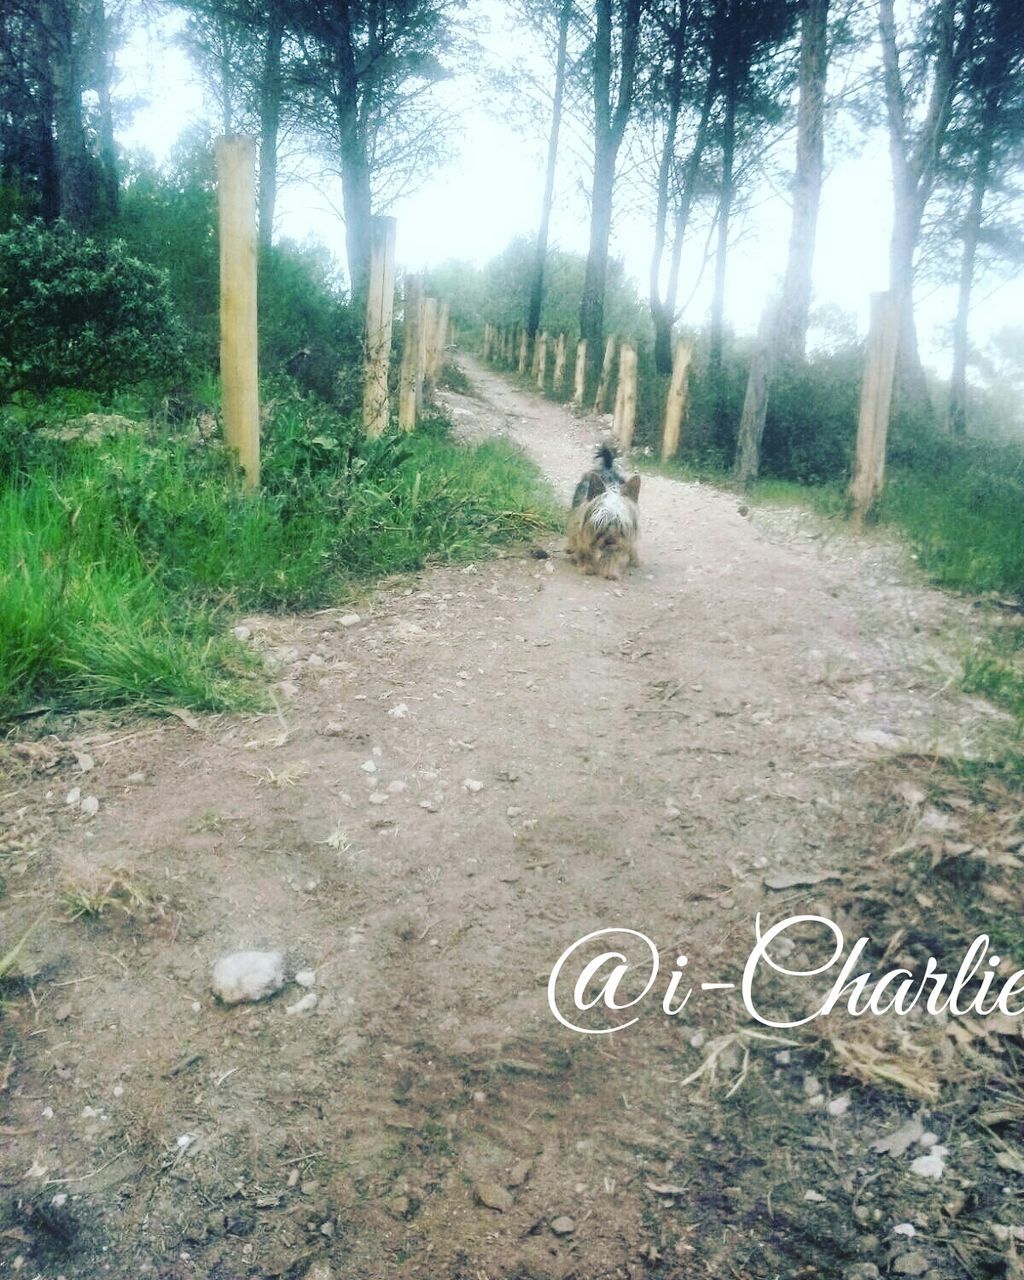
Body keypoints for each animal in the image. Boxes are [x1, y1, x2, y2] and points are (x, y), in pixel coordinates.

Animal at [568, 440, 640, 581]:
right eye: (601, 521)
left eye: (620, 523)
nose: (609, 541)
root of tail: (607, 468)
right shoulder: (583, 526)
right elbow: (583, 546)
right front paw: (586, 567)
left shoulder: (619, 541)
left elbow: (613, 553)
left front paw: (610, 572)